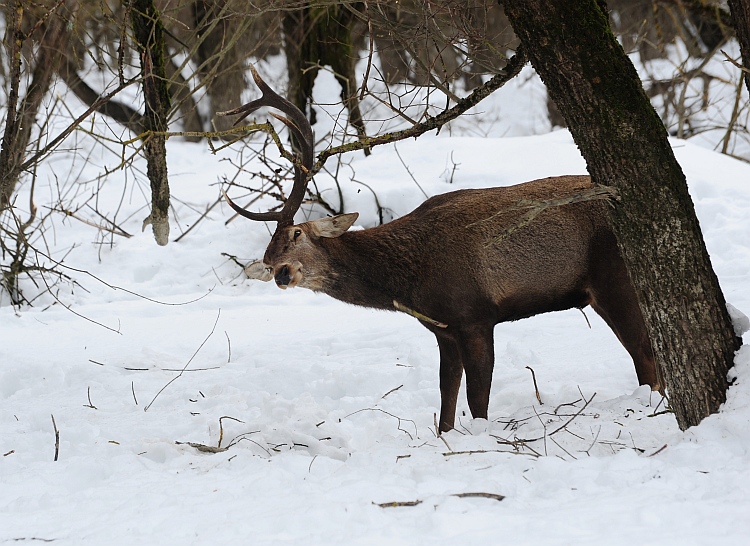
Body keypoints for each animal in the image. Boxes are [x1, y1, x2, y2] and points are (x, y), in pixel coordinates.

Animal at [220, 68, 660, 432]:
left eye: (295, 233)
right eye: (268, 251)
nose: (277, 269)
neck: (414, 282)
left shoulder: (476, 315)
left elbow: (478, 402)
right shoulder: (444, 329)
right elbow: (447, 403)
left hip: (615, 277)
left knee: (645, 353)